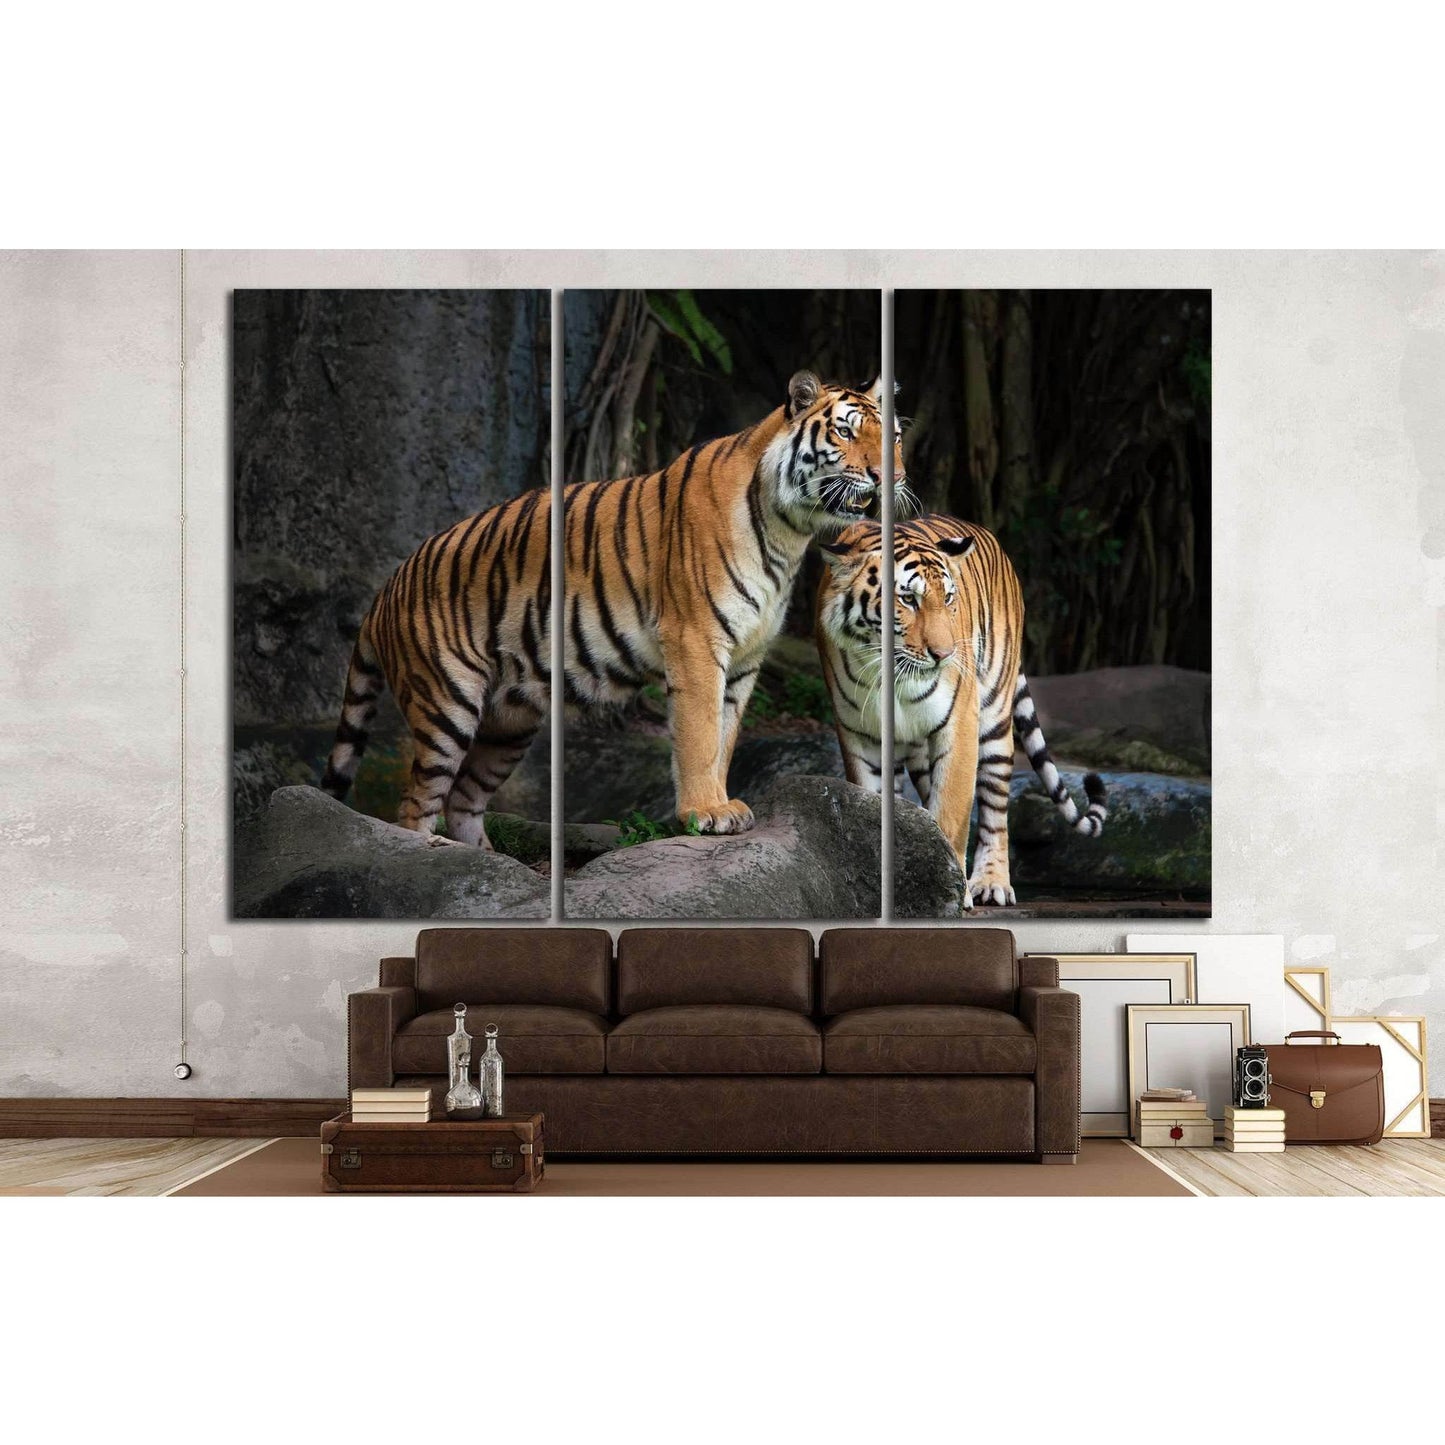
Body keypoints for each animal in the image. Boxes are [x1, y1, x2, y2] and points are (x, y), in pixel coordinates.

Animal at [319, 370, 906, 845]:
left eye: (894, 436)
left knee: (464, 799)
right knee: (416, 805)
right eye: (846, 431)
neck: (791, 531)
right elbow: (699, 733)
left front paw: (722, 803)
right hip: (447, 703)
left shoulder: (745, 658)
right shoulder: (696, 641)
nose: (891, 477)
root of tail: (388, 585)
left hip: (510, 721)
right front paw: (705, 812)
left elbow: (725, 736)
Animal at [815, 514, 1107, 908]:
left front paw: (949, 893)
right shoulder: (859, 736)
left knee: (994, 810)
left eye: (948, 598)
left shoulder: (958, 725)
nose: (945, 654)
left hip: (994, 720)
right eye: (907, 599)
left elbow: (951, 814)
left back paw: (992, 883)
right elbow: (873, 807)